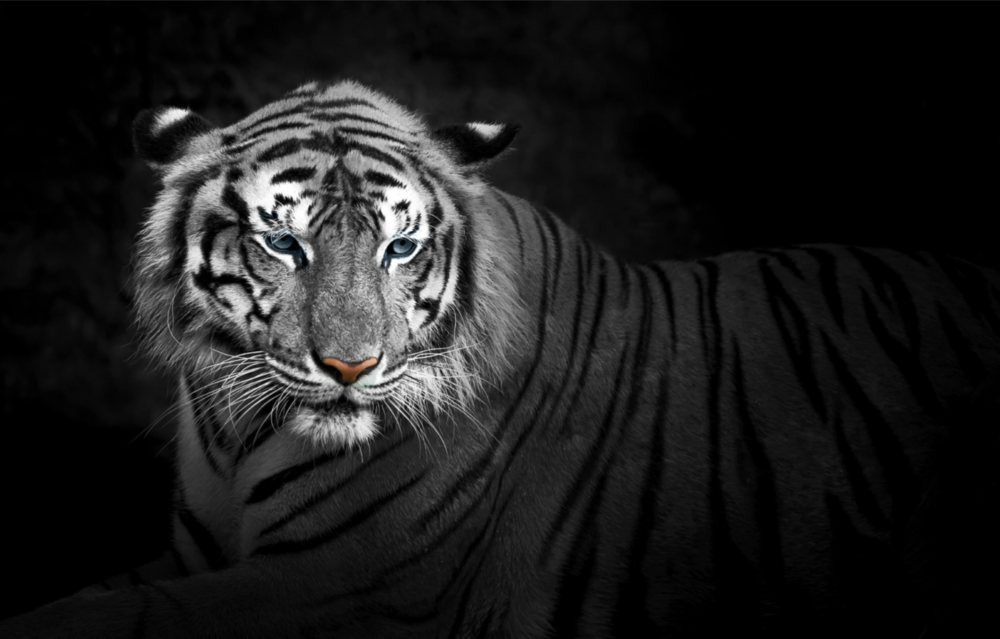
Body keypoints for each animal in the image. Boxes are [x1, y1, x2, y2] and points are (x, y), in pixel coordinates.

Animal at [3, 79, 999, 638]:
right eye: (283, 244)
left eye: (401, 248)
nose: (351, 368)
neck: (238, 425)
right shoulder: (194, 555)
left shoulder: (345, 583)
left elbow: (119, 618)